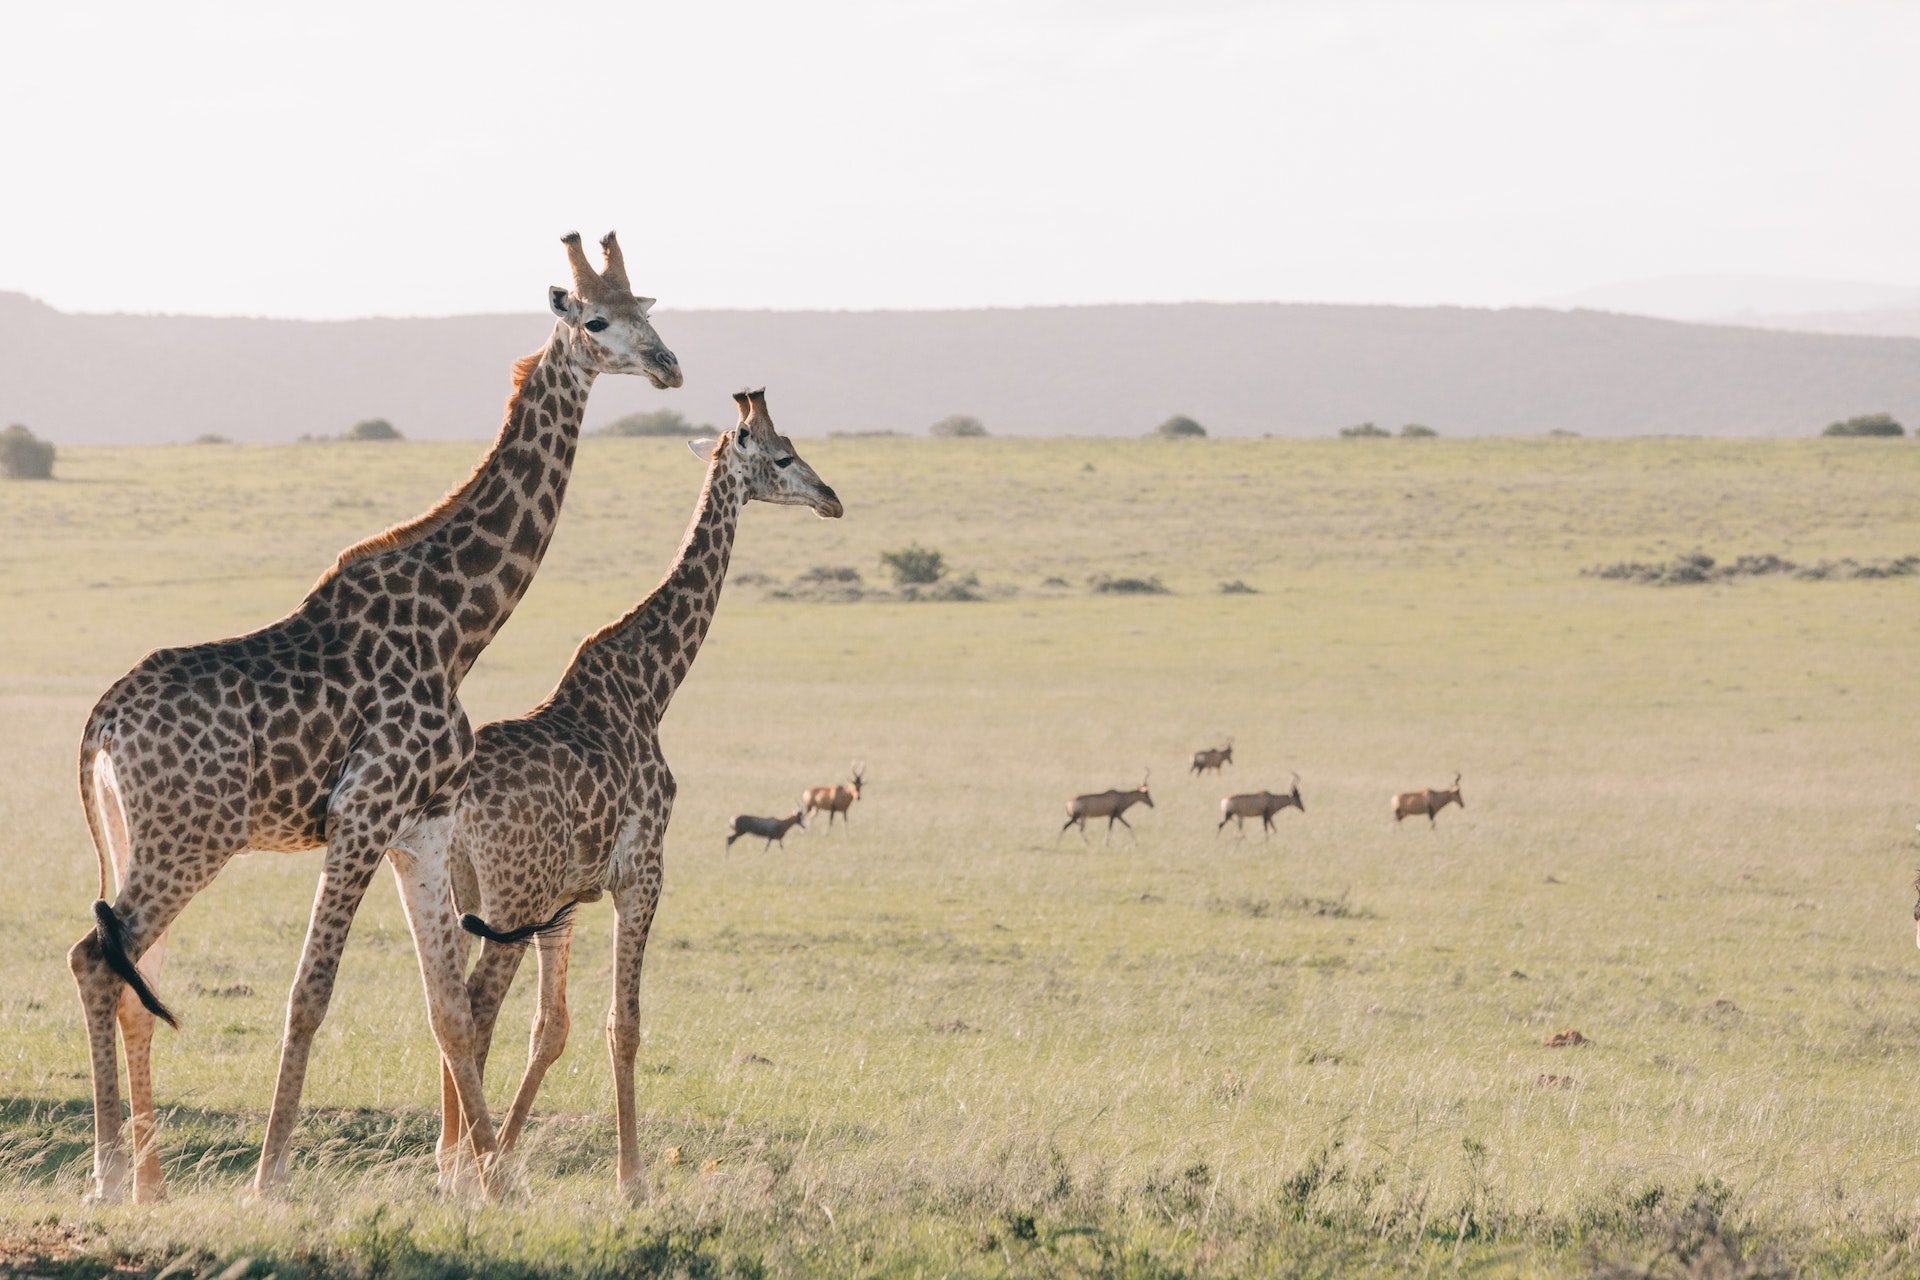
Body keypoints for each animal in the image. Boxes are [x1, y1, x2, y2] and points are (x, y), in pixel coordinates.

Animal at [65, 233, 683, 1212]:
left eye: (646, 311)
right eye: (595, 321)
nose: (667, 364)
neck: (456, 627)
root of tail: (98, 727)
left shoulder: (419, 825)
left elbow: (452, 1009)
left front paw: (495, 1183)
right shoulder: (360, 813)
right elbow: (310, 993)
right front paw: (271, 1182)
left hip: (136, 839)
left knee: (125, 975)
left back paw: (144, 1185)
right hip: (188, 840)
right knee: (96, 959)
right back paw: (109, 1178)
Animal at [385, 387, 837, 1205]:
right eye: (784, 455)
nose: (832, 498)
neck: (652, 686)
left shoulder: (565, 900)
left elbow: (551, 1028)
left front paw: (508, 1154)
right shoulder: (641, 872)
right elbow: (620, 1025)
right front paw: (632, 1182)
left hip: (465, 889)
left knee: (451, 1008)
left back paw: (455, 1164)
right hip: (509, 896)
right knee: (476, 1009)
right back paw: (473, 1172)